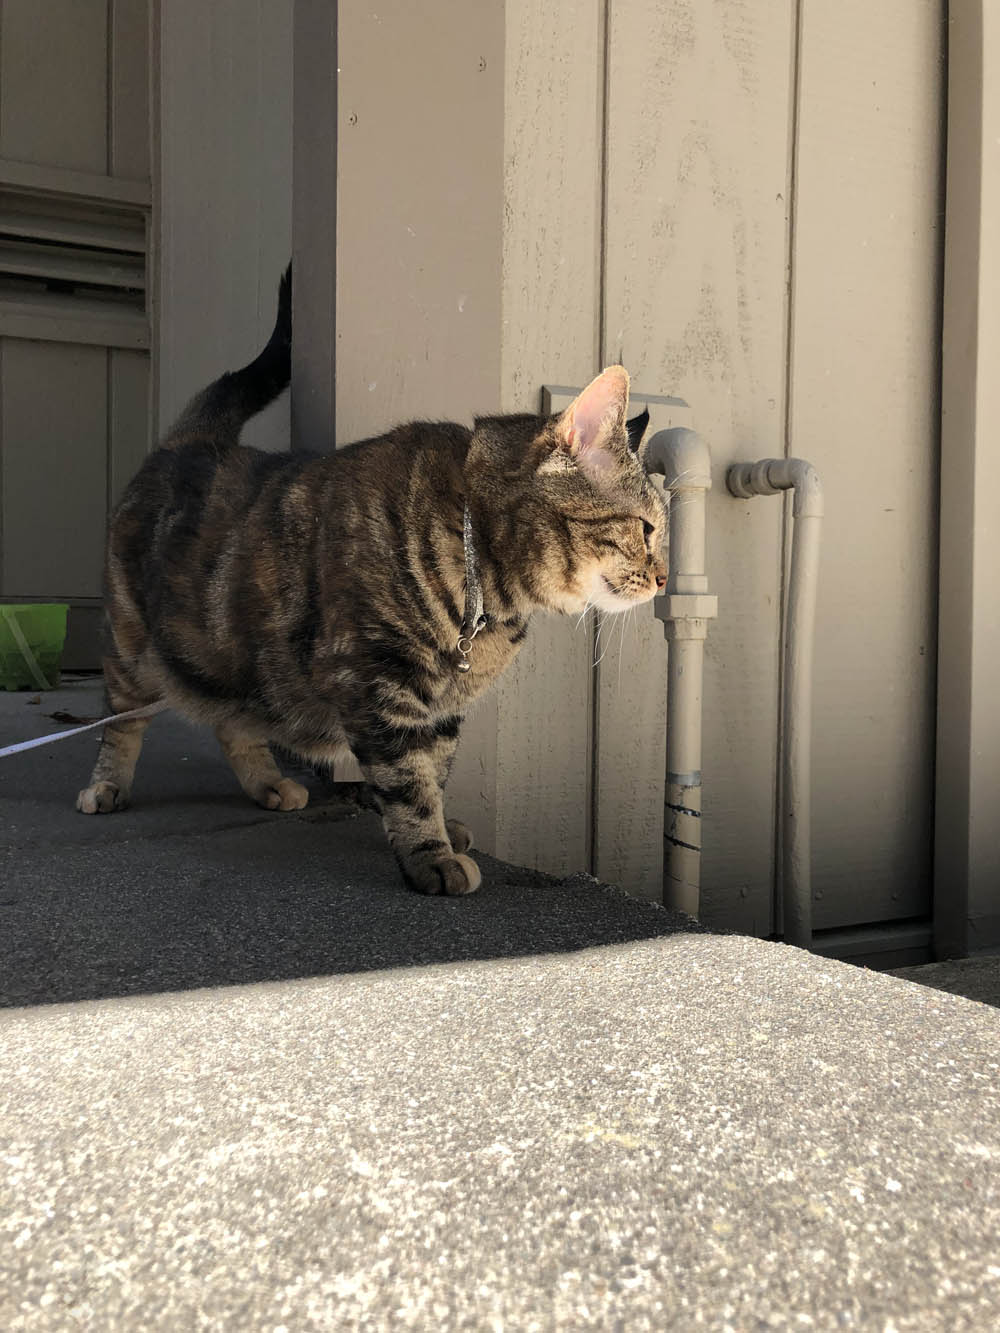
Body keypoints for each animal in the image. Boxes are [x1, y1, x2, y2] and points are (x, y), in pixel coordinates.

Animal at [77, 267, 667, 896]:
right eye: (647, 528)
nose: (663, 580)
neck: (486, 589)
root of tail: (187, 442)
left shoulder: (440, 707)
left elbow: (434, 769)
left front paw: (439, 827)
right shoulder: (378, 681)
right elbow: (407, 781)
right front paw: (431, 856)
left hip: (233, 663)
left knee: (234, 722)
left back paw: (268, 783)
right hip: (132, 648)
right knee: (123, 719)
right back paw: (107, 786)